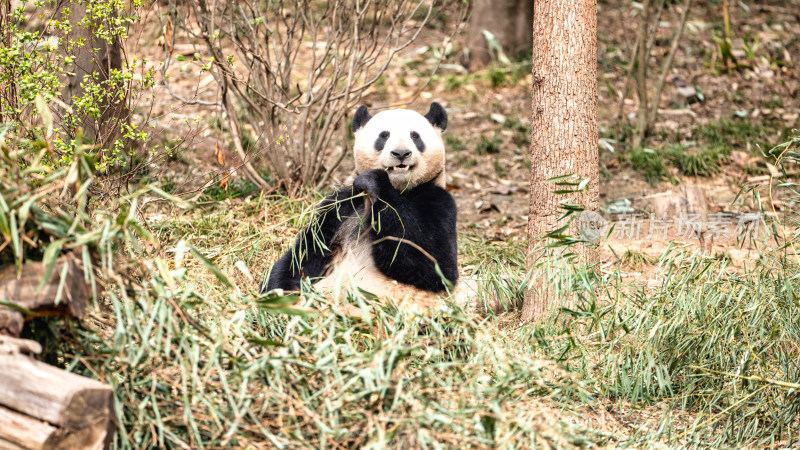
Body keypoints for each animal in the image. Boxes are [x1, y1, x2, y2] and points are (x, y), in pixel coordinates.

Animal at [264, 103, 462, 312]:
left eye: (415, 136)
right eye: (384, 136)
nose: (401, 153)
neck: (401, 190)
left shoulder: (438, 200)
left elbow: (437, 266)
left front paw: (375, 180)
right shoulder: (342, 207)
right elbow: (308, 251)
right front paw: (275, 294)